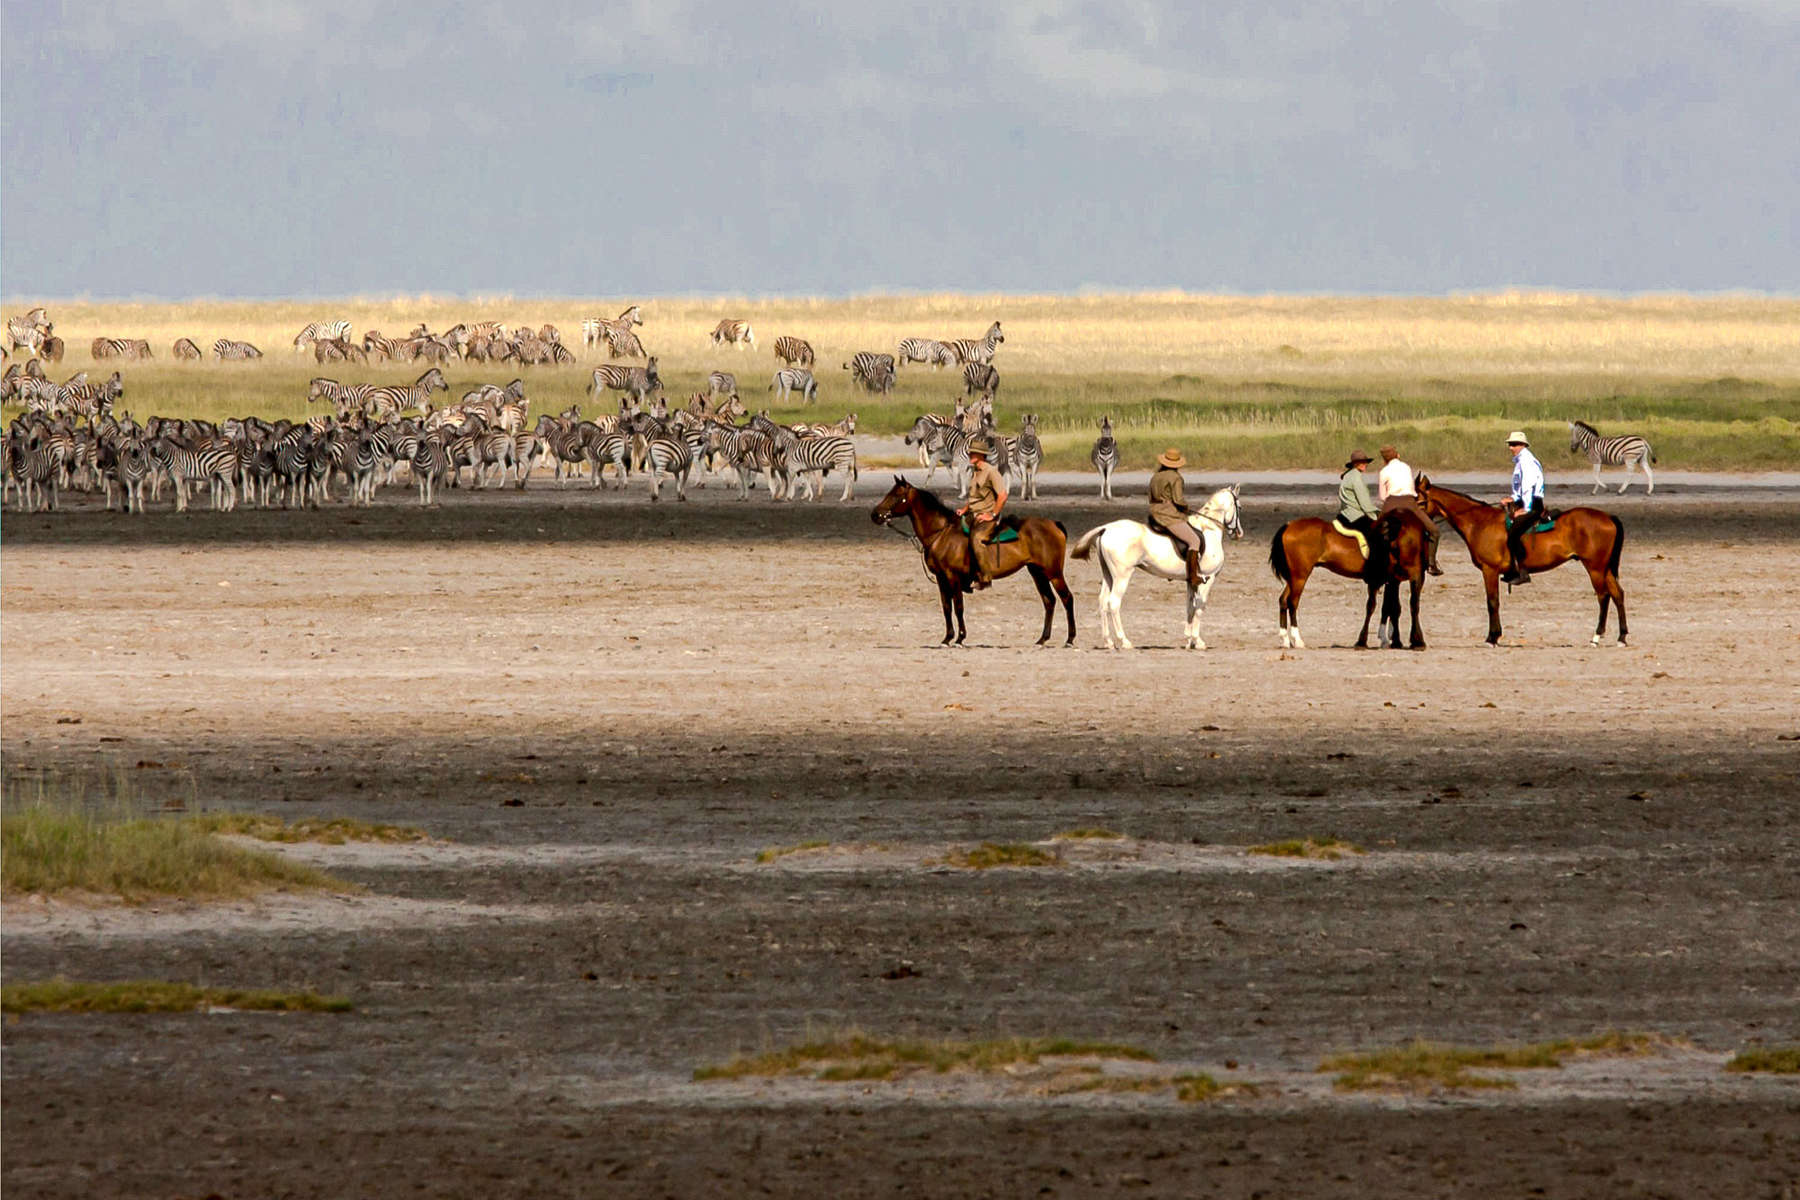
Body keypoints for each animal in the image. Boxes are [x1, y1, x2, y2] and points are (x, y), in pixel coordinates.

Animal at [867, 474, 1072, 647]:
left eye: (896, 495)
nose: (875, 515)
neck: (941, 534)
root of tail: (1054, 524)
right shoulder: (941, 578)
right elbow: (946, 607)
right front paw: (947, 638)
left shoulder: (953, 577)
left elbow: (958, 606)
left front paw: (960, 638)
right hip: (1037, 572)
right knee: (1049, 601)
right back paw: (1042, 639)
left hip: (1054, 573)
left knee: (1066, 598)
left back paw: (1070, 639)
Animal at [1065, 482, 1238, 647]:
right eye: (1239, 507)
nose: (1238, 533)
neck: (1209, 529)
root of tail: (1106, 528)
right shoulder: (1208, 578)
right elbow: (1200, 607)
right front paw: (1197, 640)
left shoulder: (1192, 581)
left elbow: (1191, 607)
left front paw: (1190, 641)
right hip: (1122, 576)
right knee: (1113, 603)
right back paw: (1124, 641)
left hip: (1108, 575)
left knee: (1102, 602)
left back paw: (1108, 641)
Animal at [1274, 510, 1425, 651]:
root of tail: (1289, 525)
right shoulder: (1387, 580)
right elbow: (1386, 607)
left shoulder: (1390, 580)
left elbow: (1389, 608)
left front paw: (1387, 639)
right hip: (1300, 576)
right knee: (1292, 602)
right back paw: (1297, 640)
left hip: (1294, 577)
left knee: (1283, 600)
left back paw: (1285, 640)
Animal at [1418, 474, 1634, 647]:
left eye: (1420, 501)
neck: (1479, 522)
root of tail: (1608, 517)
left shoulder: (1489, 570)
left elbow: (1492, 602)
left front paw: (1492, 638)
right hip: (1605, 568)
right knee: (1618, 594)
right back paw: (1621, 637)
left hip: (1595, 567)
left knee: (1603, 596)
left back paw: (1596, 637)